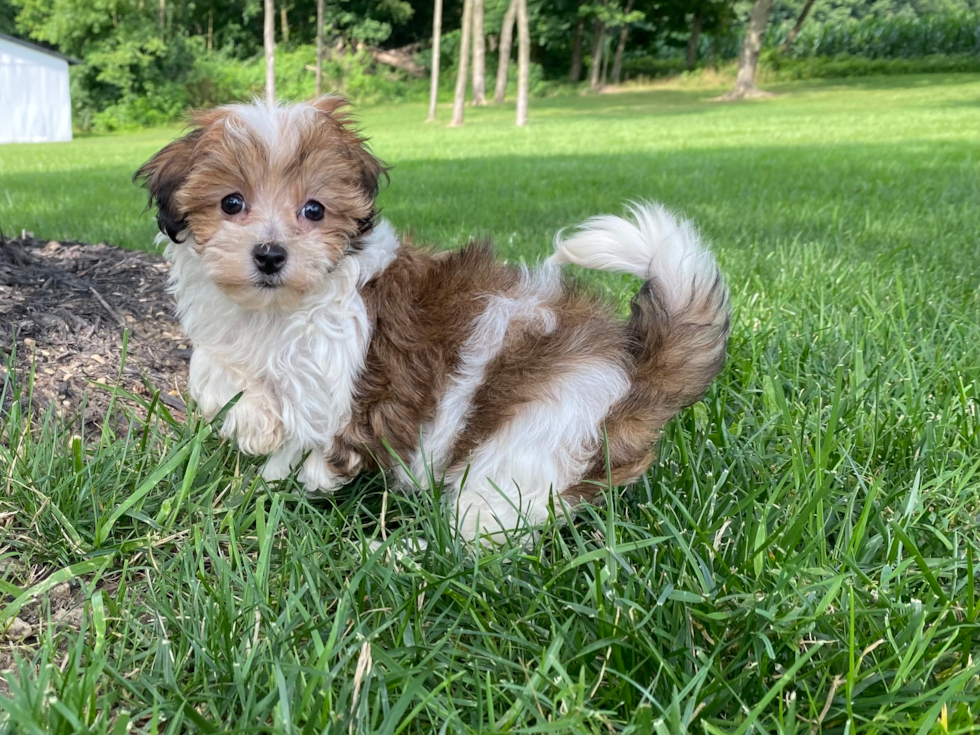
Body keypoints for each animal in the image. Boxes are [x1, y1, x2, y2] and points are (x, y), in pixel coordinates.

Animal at [136, 98, 728, 544]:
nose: (270, 255)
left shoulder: (330, 379)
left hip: (523, 444)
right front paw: (253, 425)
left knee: (487, 538)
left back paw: (407, 557)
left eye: (314, 210)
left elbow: (306, 429)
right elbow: (213, 370)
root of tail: (633, 371)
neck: (275, 313)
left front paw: (286, 465)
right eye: (231, 203)